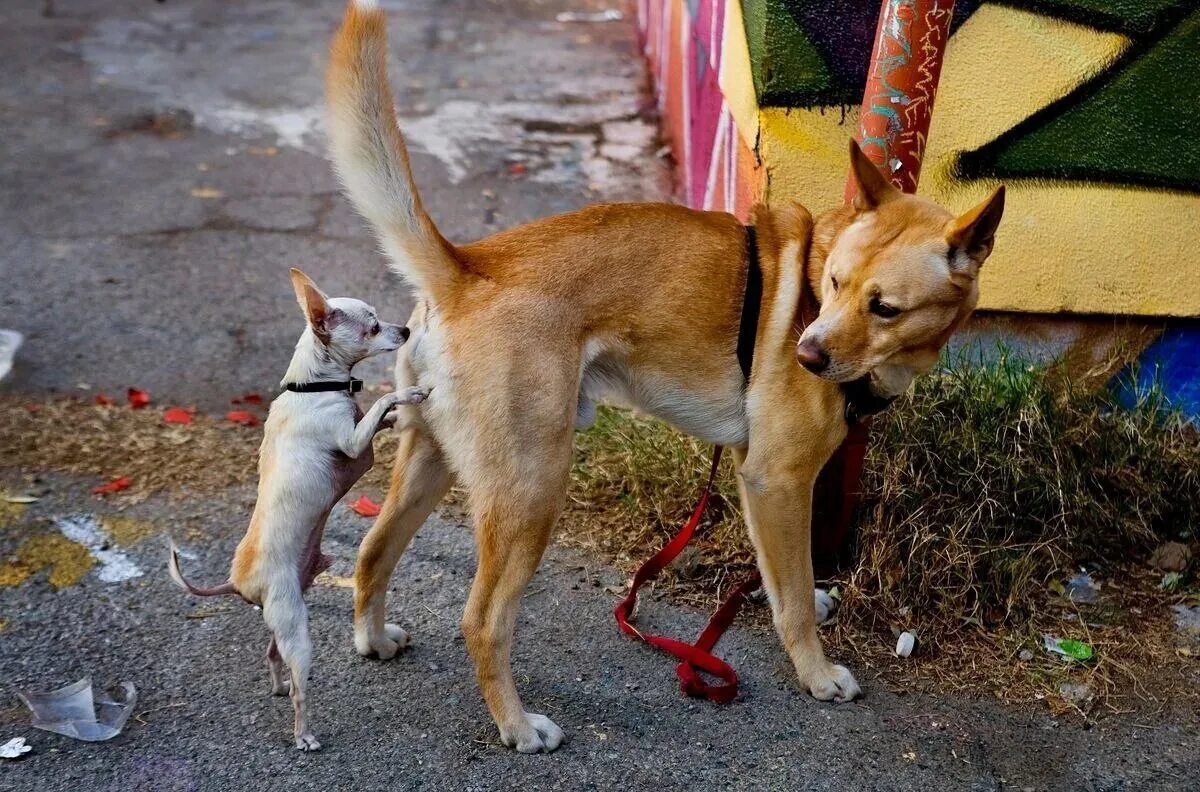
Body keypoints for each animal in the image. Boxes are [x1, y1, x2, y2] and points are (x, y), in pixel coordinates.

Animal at [326, 0, 1003, 753]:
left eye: (883, 306)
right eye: (833, 284)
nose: (806, 355)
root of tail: (469, 267)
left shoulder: (757, 476)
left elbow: (784, 578)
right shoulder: (777, 479)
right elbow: (794, 597)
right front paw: (816, 672)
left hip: (433, 458)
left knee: (372, 552)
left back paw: (373, 638)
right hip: (532, 488)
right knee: (482, 620)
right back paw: (516, 724)